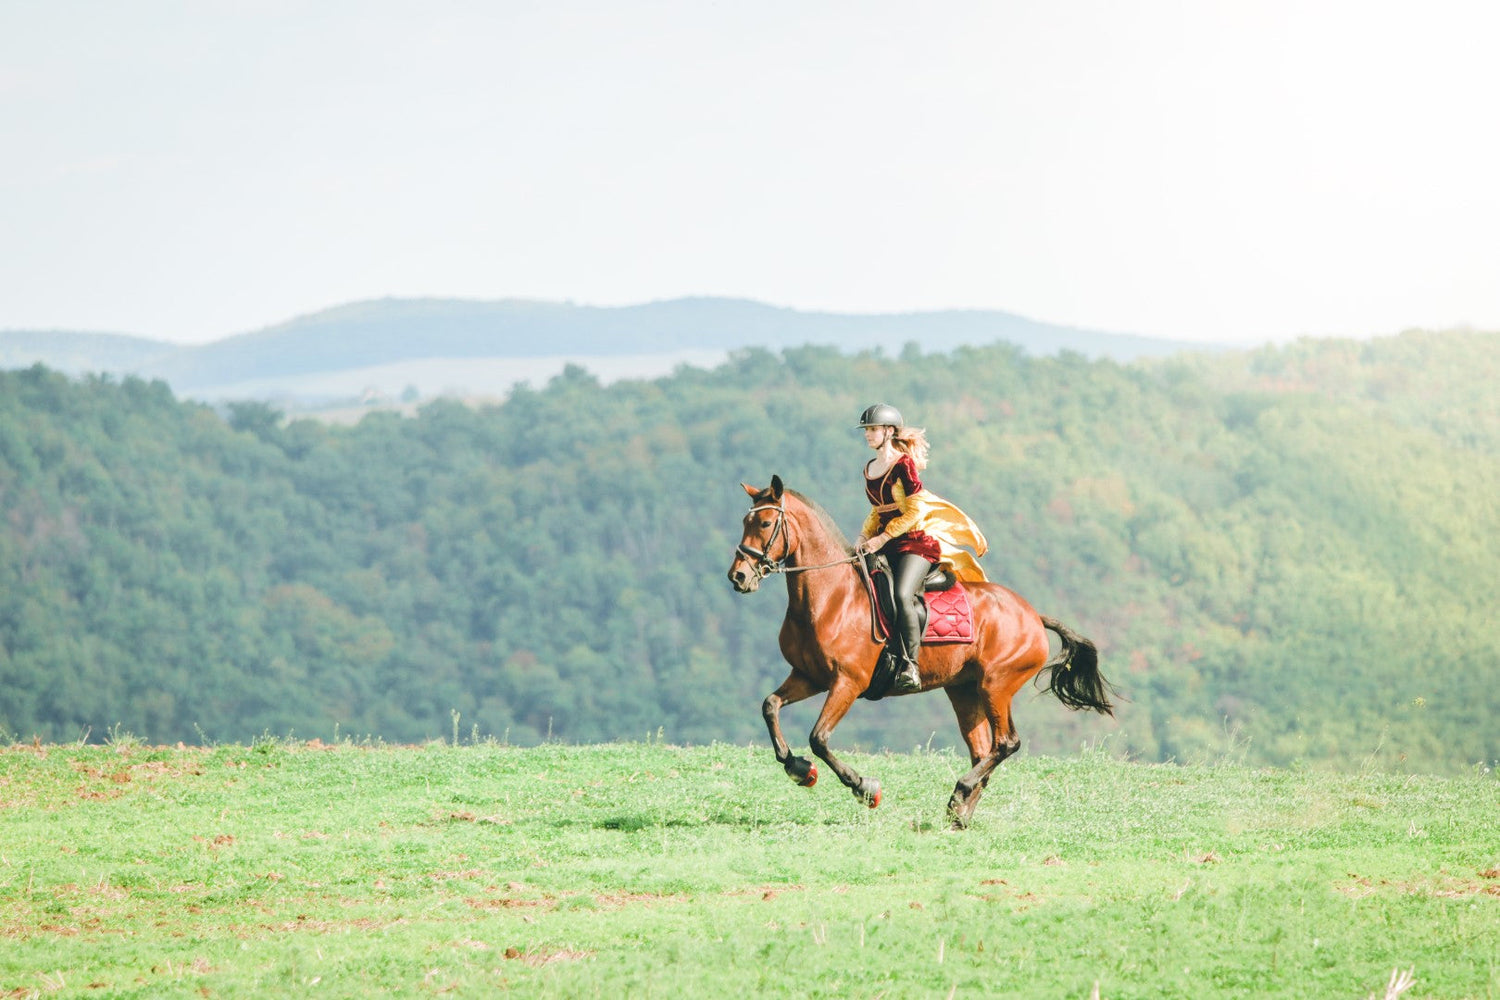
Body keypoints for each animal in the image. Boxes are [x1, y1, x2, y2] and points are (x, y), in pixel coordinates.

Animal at [726, 476, 1116, 827]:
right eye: (744, 522)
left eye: (764, 523)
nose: (738, 577)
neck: (831, 597)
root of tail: (1033, 615)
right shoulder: (809, 676)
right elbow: (770, 706)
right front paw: (798, 769)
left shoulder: (847, 682)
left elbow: (819, 739)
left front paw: (864, 788)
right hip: (964, 691)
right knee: (983, 750)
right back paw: (959, 813)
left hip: (997, 685)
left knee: (1007, 743)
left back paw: (960, 792)